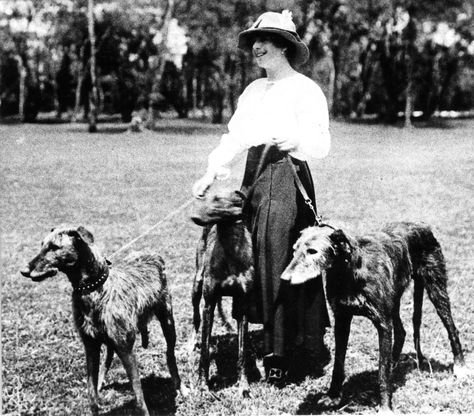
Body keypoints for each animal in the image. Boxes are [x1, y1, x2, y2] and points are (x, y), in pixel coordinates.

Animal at [21, 228, 185, 416]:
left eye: (54, 247)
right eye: (42, 244)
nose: (24, 271)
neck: (93, 288)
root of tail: (153, 255)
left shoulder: (126, 350)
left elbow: (139, 398)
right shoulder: (91, 347)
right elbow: (91, 395)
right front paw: (96, 393)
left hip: (168, 322)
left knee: (170, 355)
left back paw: (181, 387)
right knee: (108, 357)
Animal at [282, 223, 466, 412]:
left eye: (312, 251)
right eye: (294, 250)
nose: (284, 279)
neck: (348, 271)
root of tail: (422, 226)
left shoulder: (382, 323)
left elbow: (382, 371)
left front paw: (385, 407)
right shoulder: (342, 320)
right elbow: (338, 365)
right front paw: (333, 396)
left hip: (436, 288)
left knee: (452, 328)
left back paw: (460, 365)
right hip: (394, 300)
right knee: (401, 332)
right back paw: (394, 362)